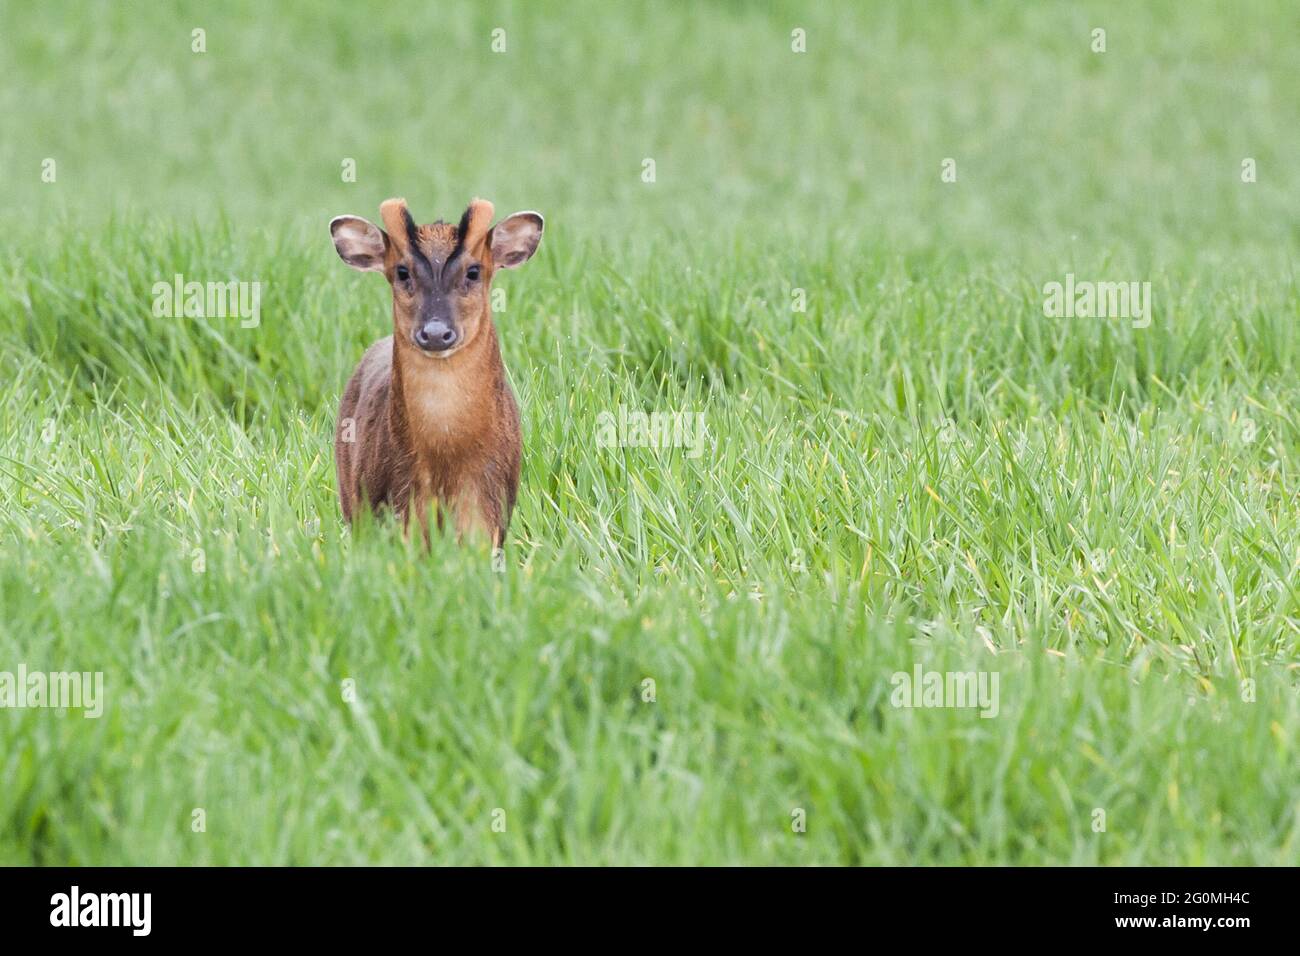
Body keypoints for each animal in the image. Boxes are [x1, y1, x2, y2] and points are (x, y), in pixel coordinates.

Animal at [329, 197, 543, 549]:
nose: (435, 333)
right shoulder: (399, 499)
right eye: (402, 271)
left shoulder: (489, 502)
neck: (445, 457)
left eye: (474, 271)